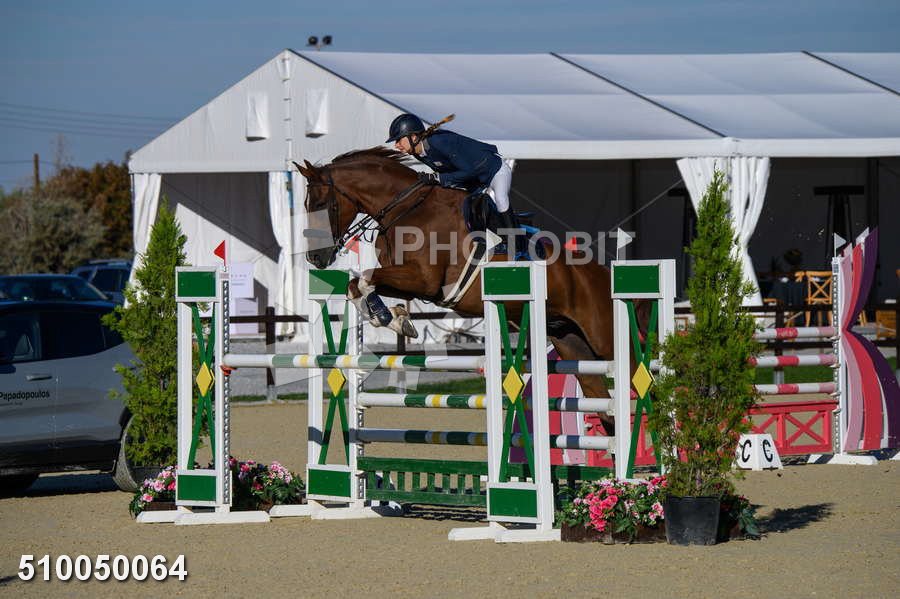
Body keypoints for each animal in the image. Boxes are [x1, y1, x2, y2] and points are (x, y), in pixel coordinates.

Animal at [295, 148, 619, 429]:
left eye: (321, 205)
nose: (316, 258)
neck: (405, 209)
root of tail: (602, 271)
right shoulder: (415, 287)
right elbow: (357, 284)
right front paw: (394, 318)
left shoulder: (423, 280)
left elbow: (364, 277)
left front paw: (389, 317)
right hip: (570, 340)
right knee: (600, 398)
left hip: (604, 338)